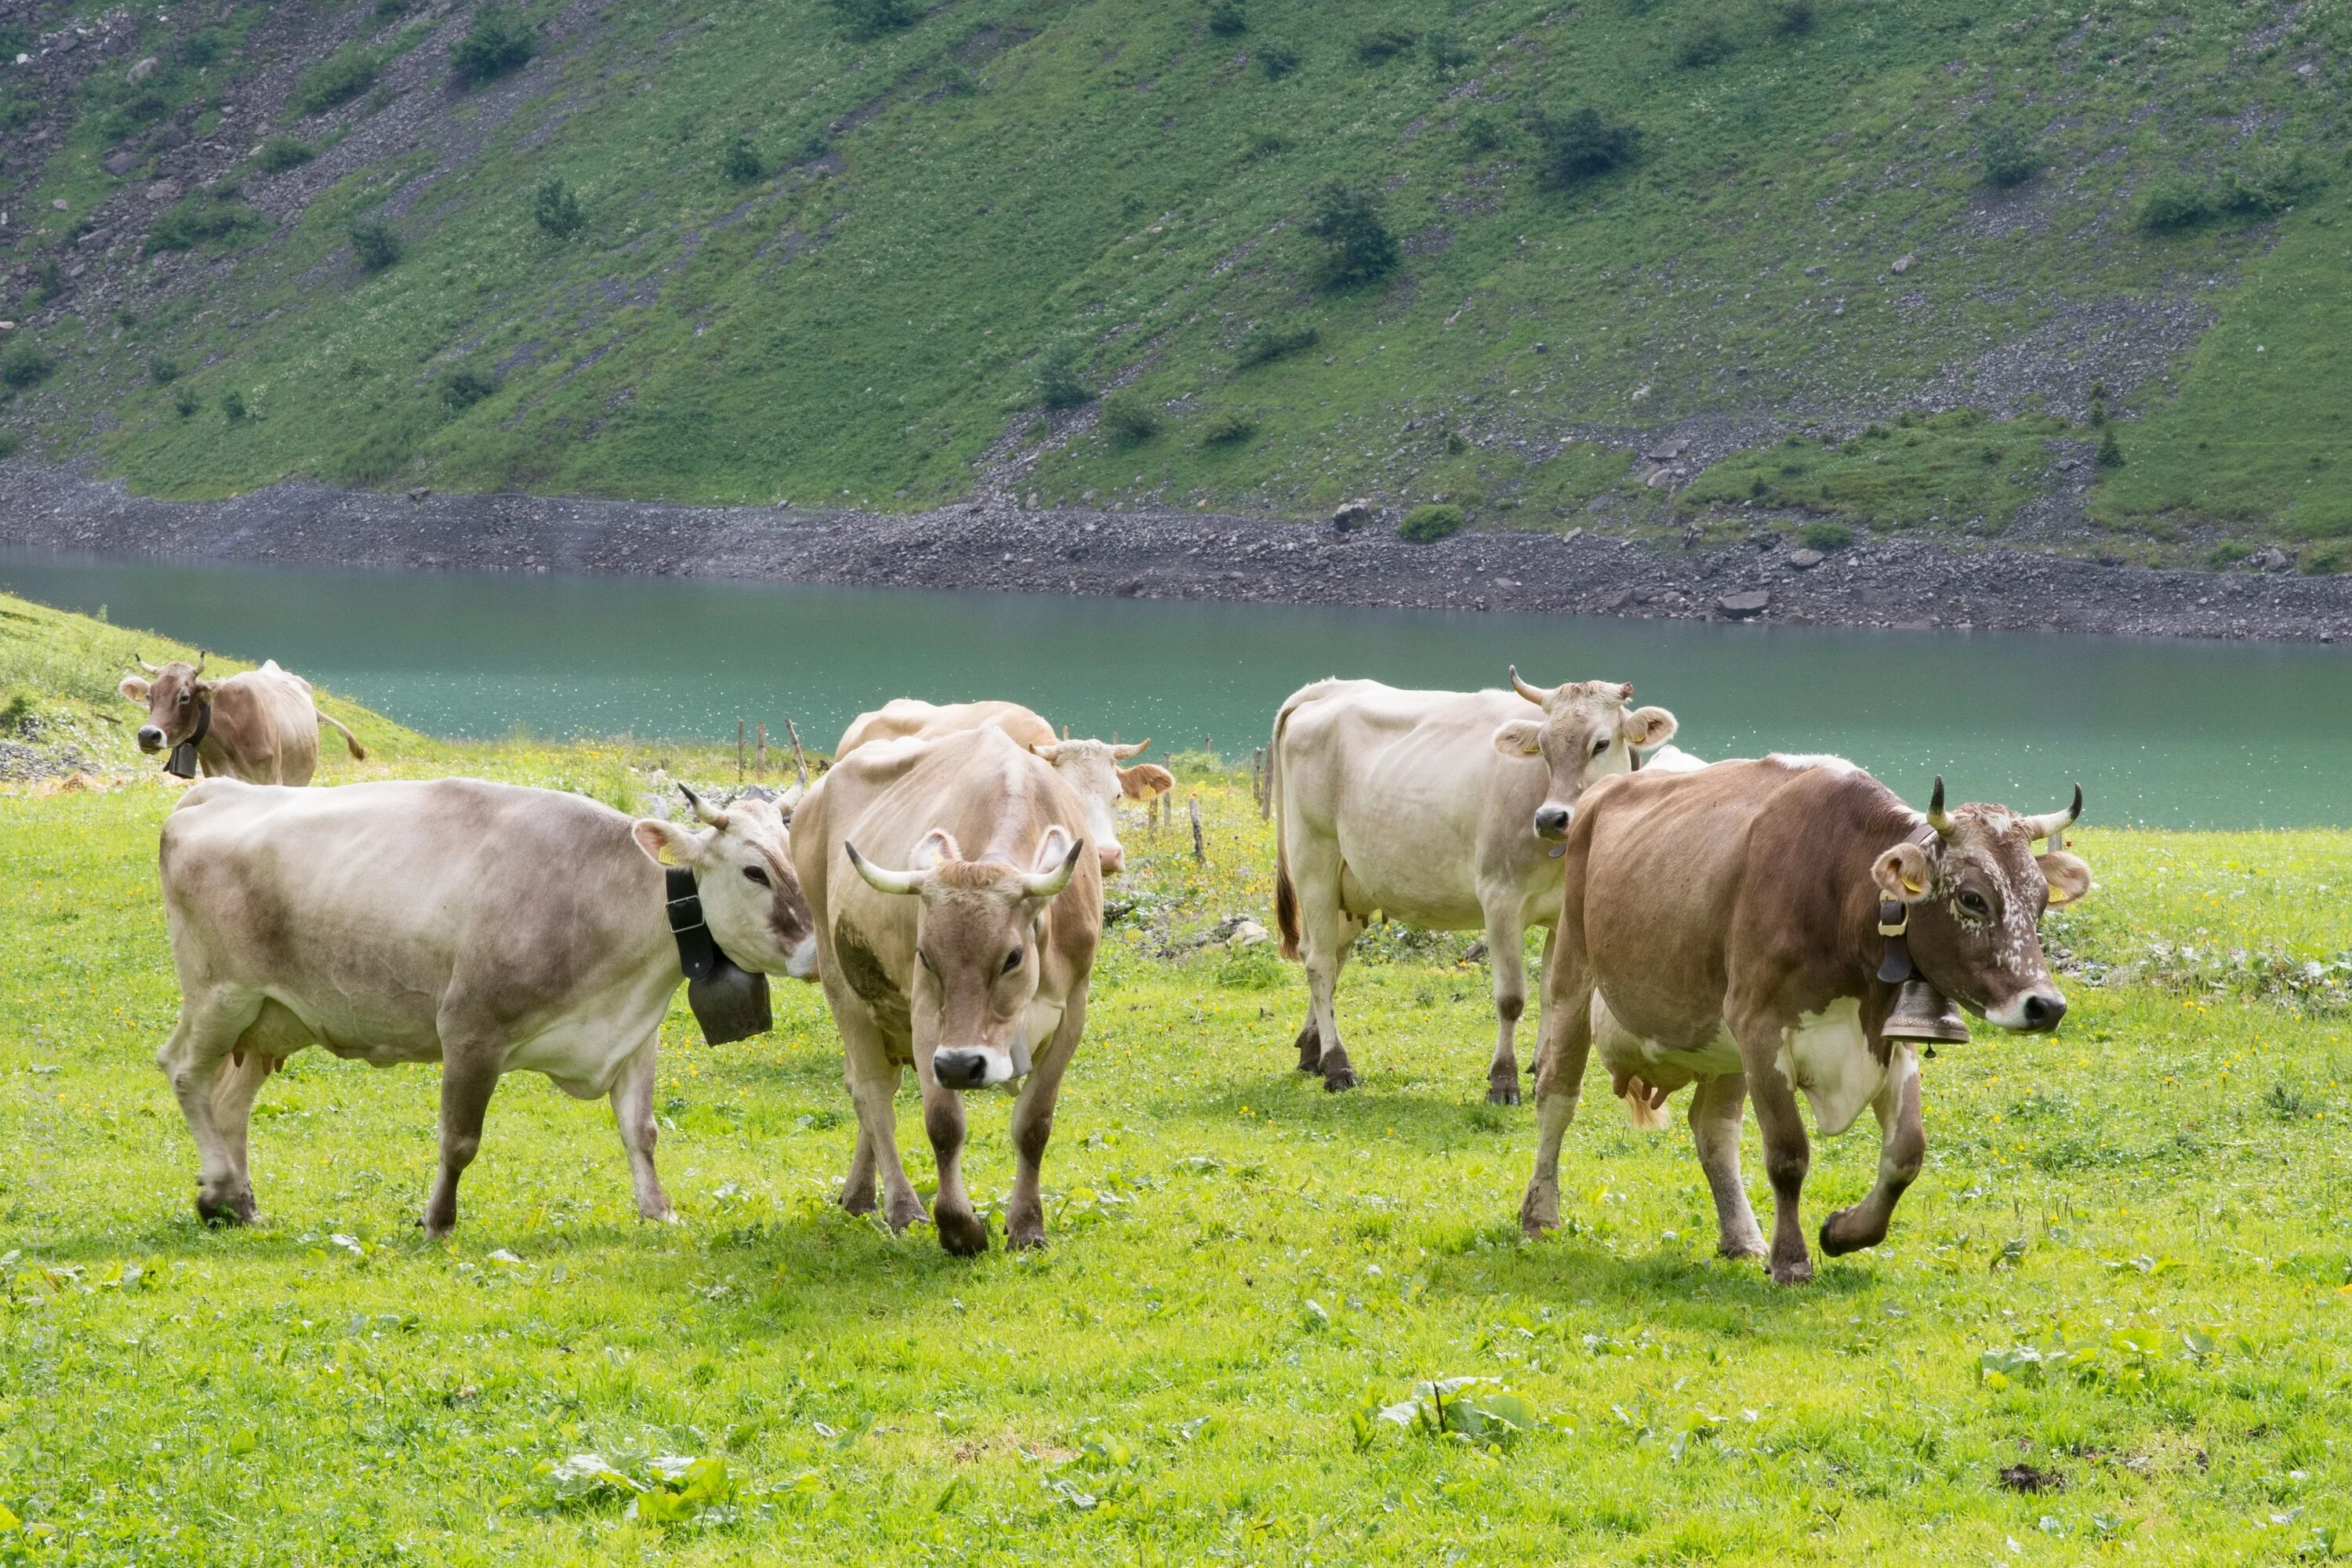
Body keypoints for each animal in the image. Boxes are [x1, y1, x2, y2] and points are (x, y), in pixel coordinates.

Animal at [790, 728, 1101, 1260]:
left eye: (1012, 957)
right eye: (926, 955)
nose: (961, 1066)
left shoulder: (1071, 1012)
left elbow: (1034, 1124)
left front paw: (1026, 1226)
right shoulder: (927, 1018)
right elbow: (944, 1125)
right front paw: (959, 1227)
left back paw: (858, 1194)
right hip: (844, 987)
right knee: (873, 1096)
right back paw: (901, 1206)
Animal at [1270, 677, 1675, 1105]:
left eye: (1601, 743)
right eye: (1543, 746)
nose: (1551, 819)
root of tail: (1328, 688)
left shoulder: (1564, 913)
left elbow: (1551, 992)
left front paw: (1541, 1071)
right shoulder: (1500, 899)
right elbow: (1511, 998)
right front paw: (1504, 1080)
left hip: (1350, 885)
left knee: (1328, 954)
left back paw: (1311, 1051)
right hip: (1314, 859)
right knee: (1320, 963)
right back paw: (1337, 1066)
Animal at [1515, 761, 2089, 1288]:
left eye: (2040, 901)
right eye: (1972, 898)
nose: (2046, 1006)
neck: (1840, 888)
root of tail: (1607, 789)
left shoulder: (1888, 1037)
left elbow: (1907, 1153)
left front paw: (1844, 1232)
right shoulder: (1760, 1030)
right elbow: (1788, 1155)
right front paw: (1791, 1259)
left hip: (1721, 1043)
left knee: (1714, 1130)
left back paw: (1742, 1237)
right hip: (1572, 978)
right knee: (1557, 1097)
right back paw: (1540, 1214)